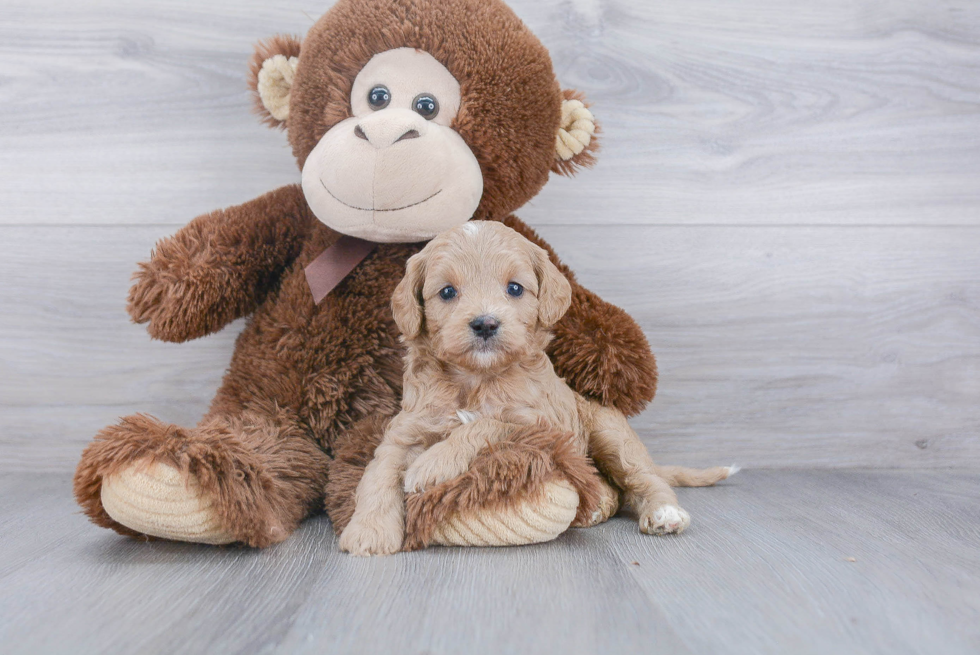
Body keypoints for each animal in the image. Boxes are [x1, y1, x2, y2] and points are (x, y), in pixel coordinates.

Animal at [338, 223, 736, 556]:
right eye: (447, 292)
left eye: (514, 288)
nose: (485, 323)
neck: (477, 379)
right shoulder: (406, 428)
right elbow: (379, 472)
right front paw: (369, 532)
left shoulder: (542, 427)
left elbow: (488, 424)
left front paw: (433, 464)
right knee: (610, 489)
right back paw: (597, 509)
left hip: (611, 433)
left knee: (641, 479)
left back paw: (665, 512)